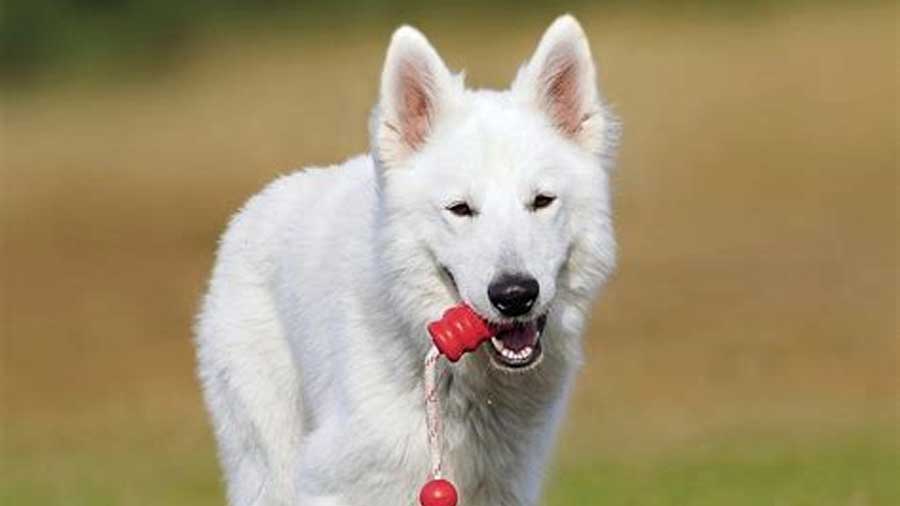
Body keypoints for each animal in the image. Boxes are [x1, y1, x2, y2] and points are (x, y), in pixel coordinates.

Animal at [195, 13, 620, 504]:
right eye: (460, 209)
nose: (515, 295)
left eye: (541, 201)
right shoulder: (335, 483)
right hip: (268, 466)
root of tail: (257, 204)